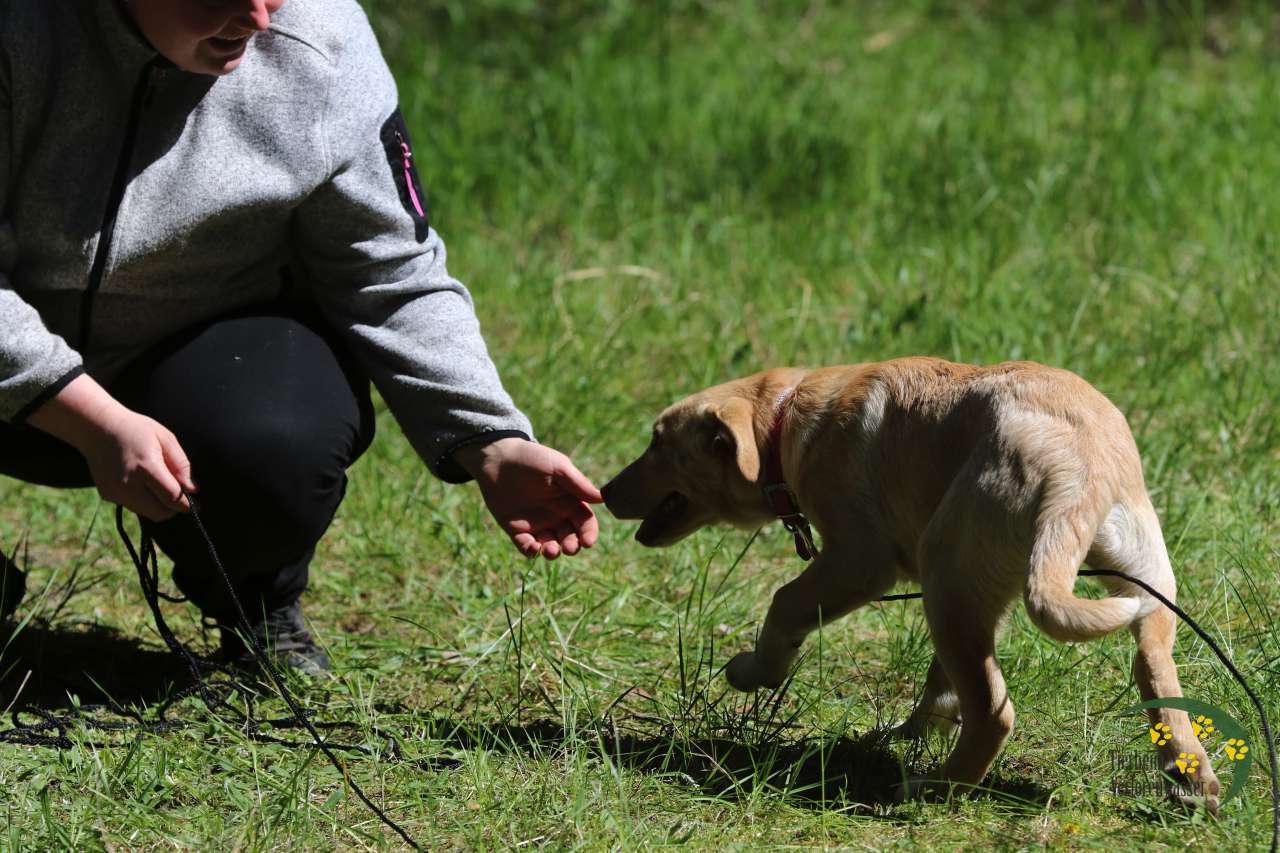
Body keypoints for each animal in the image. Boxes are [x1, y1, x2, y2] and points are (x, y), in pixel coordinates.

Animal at [602, 357, 1219, 805]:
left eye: (657, 442)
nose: (604, 492)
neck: (783, 417)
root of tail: (1078, 470)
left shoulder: (858, 559)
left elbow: (785, 603)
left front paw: (755, 671)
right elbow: (942, 678)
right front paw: (922, 726)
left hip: (945, 571)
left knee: (994, 711)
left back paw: (935, 789)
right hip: (1139, 579)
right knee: (1152, 667)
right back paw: (1190, 775)